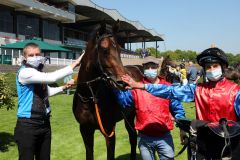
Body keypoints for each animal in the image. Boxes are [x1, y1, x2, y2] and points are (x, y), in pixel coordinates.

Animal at [72, 22, 138, 160]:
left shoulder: (109, 131)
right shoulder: (85, 130)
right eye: (104, 49)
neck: (90, 97)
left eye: (119, 50)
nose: (122, 82)